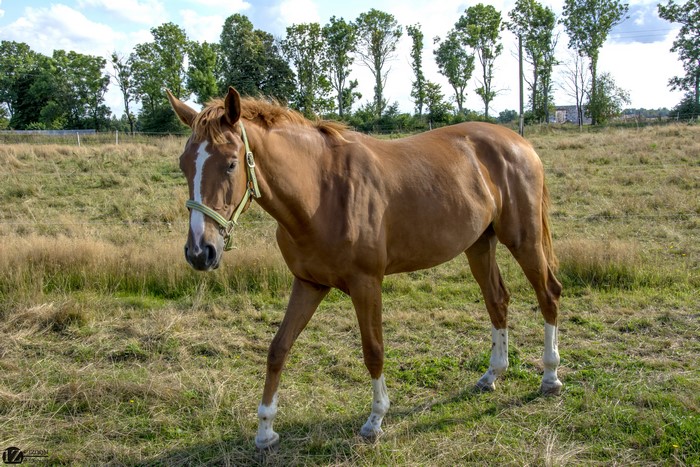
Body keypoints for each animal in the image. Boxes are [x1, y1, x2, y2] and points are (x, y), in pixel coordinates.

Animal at [167, 87, 563, 449]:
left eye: (231, 163)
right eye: (184, 164)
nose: (200, 251)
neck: (321, 192)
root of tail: (519, 143)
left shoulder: (366, 284)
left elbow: (373, 351)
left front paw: (375, 420)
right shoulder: (308, 284)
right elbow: (278, 349)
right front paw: (265, 430)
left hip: (523, 240)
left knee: (548, 295)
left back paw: (550, 377)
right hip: (479, 245)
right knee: (498, 300)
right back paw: (493, 374)